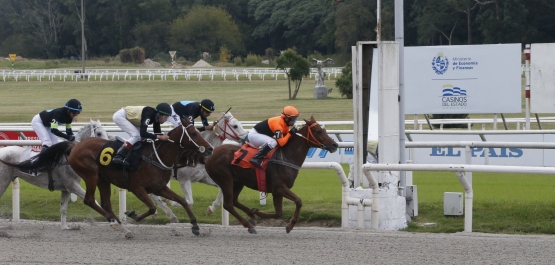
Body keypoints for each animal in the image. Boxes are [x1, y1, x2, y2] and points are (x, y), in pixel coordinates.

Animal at [13, 117, 213, 237]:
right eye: (193, 133)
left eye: (198, 131)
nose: (210, 148)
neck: (156, 156)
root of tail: (75, 146)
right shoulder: (137, 187)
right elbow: (151, 207)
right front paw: (132, 214)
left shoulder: (159, 187)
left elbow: (182, 200)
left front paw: (195, 226)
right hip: (91, 175)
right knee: (90, 200)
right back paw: (115, 222)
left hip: (103, 179)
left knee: (105, 203)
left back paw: (121, 226)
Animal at [205, 115, 338, 233]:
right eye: (318, 131)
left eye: (324, 130)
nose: (334, 145)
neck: (286, 156)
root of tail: (212, 153)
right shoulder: (279, 187)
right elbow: (299, 201)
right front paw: (290, 224)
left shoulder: (277, 191)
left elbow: (279, 213)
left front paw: (255, 212)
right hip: (225, 179)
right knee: (228, 204)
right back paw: (249, 225)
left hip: (238, 182)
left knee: (234, 201)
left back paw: (251, 216)